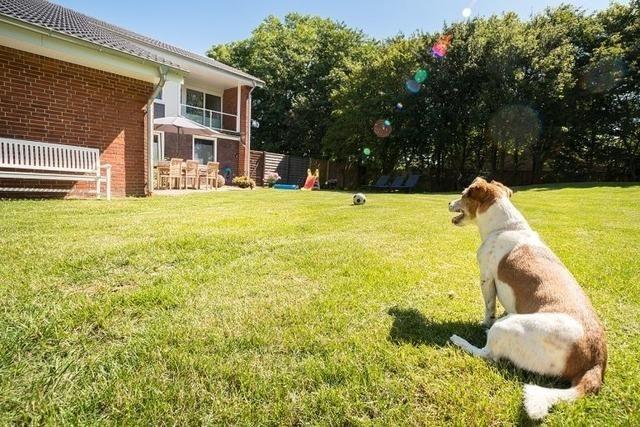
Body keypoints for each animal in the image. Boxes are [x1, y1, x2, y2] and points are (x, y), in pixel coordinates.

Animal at [447, 177, 607, 420]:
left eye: (464, 193)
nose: (448, 202)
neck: (506, 226)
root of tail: (595, 361)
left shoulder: (486, 278)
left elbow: (489, 308)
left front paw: (483, 323)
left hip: (506, 328)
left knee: (487, 354)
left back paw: (460, 340)